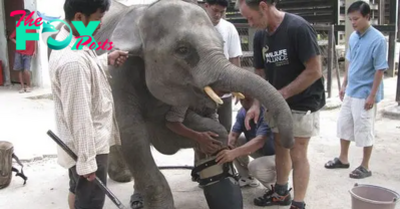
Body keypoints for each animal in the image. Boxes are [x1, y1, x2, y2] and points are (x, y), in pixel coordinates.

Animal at [49, 0, 294, 209]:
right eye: (183, 50)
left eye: (222, 44)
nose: (287, 143)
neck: (142, 16)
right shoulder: (119, 76)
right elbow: (134, 139)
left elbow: (187, 127)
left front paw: (214, 148)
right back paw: (124, 180)